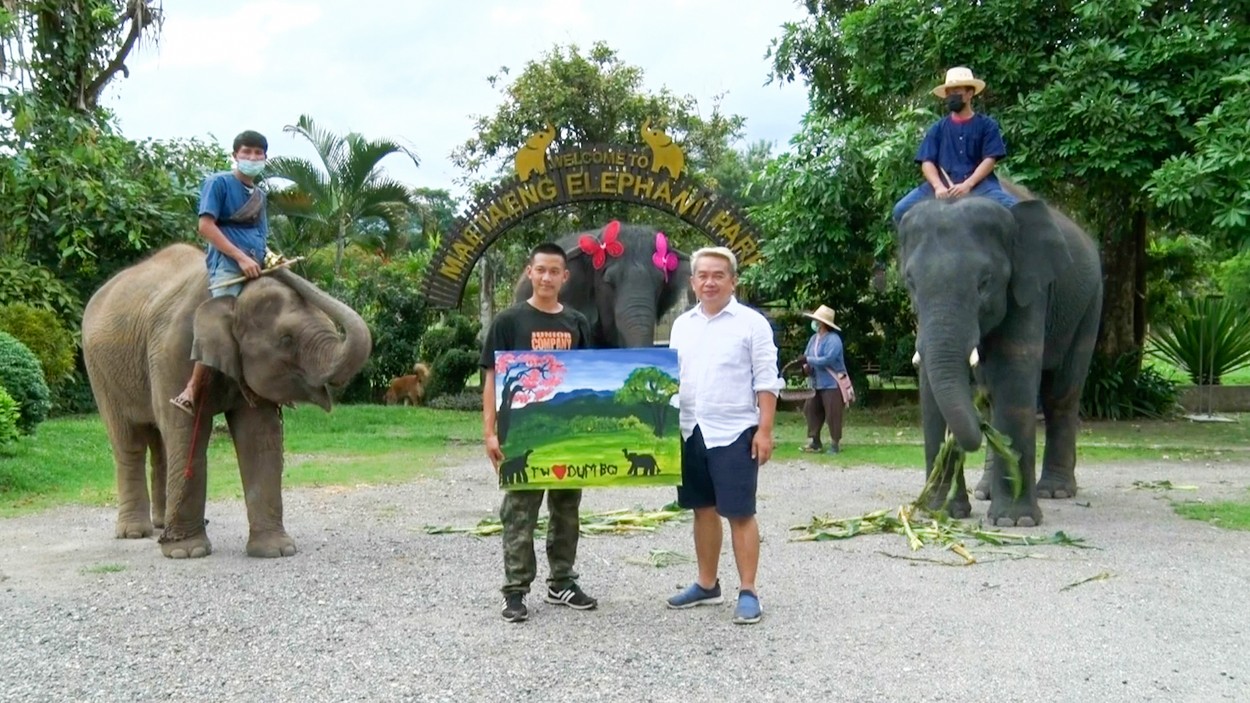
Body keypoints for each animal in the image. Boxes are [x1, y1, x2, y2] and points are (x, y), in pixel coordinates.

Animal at [83, 243, 370, 555]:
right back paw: (135, 533)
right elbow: (187, 432)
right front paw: (188, 552)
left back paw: (161, 526)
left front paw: (276, 551)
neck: (232, 299)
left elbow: (258, 437)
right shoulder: (174, 350)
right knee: (129, 442)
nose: (272, 258)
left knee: (159, 443)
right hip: (99, 372)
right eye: (286, 339)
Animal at [900, 191, 1105, 525]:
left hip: (1089, 305)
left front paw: (1014, 521)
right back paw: (985, 490)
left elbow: (1013, 373)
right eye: (910, 283)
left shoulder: (1029, 288)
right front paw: (940, 515)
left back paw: (1055, 491)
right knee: (995, 398)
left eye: (985, 282)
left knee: (1061, 394)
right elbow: (930, 387)